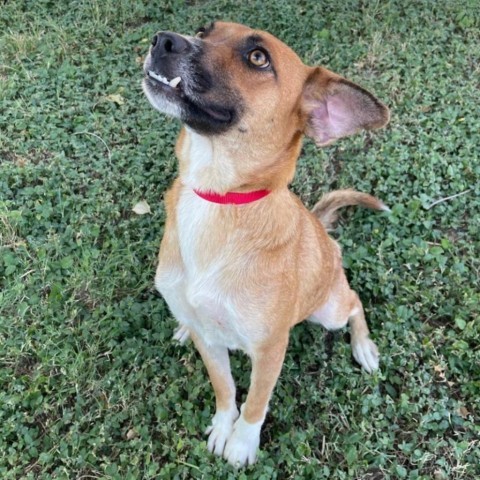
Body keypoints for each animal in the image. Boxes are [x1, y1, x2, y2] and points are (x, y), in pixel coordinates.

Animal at [141, 20, 388, 466]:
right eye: (205, 29)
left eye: (258, 58)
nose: (163, 41)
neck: (217, 199)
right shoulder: (210, 341)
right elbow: (224, 387)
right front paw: (224, 425)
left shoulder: (271, 348)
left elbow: (256, 401)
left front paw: (241, 443)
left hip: (329, 310)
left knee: (354, 301)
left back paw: (364, 348)